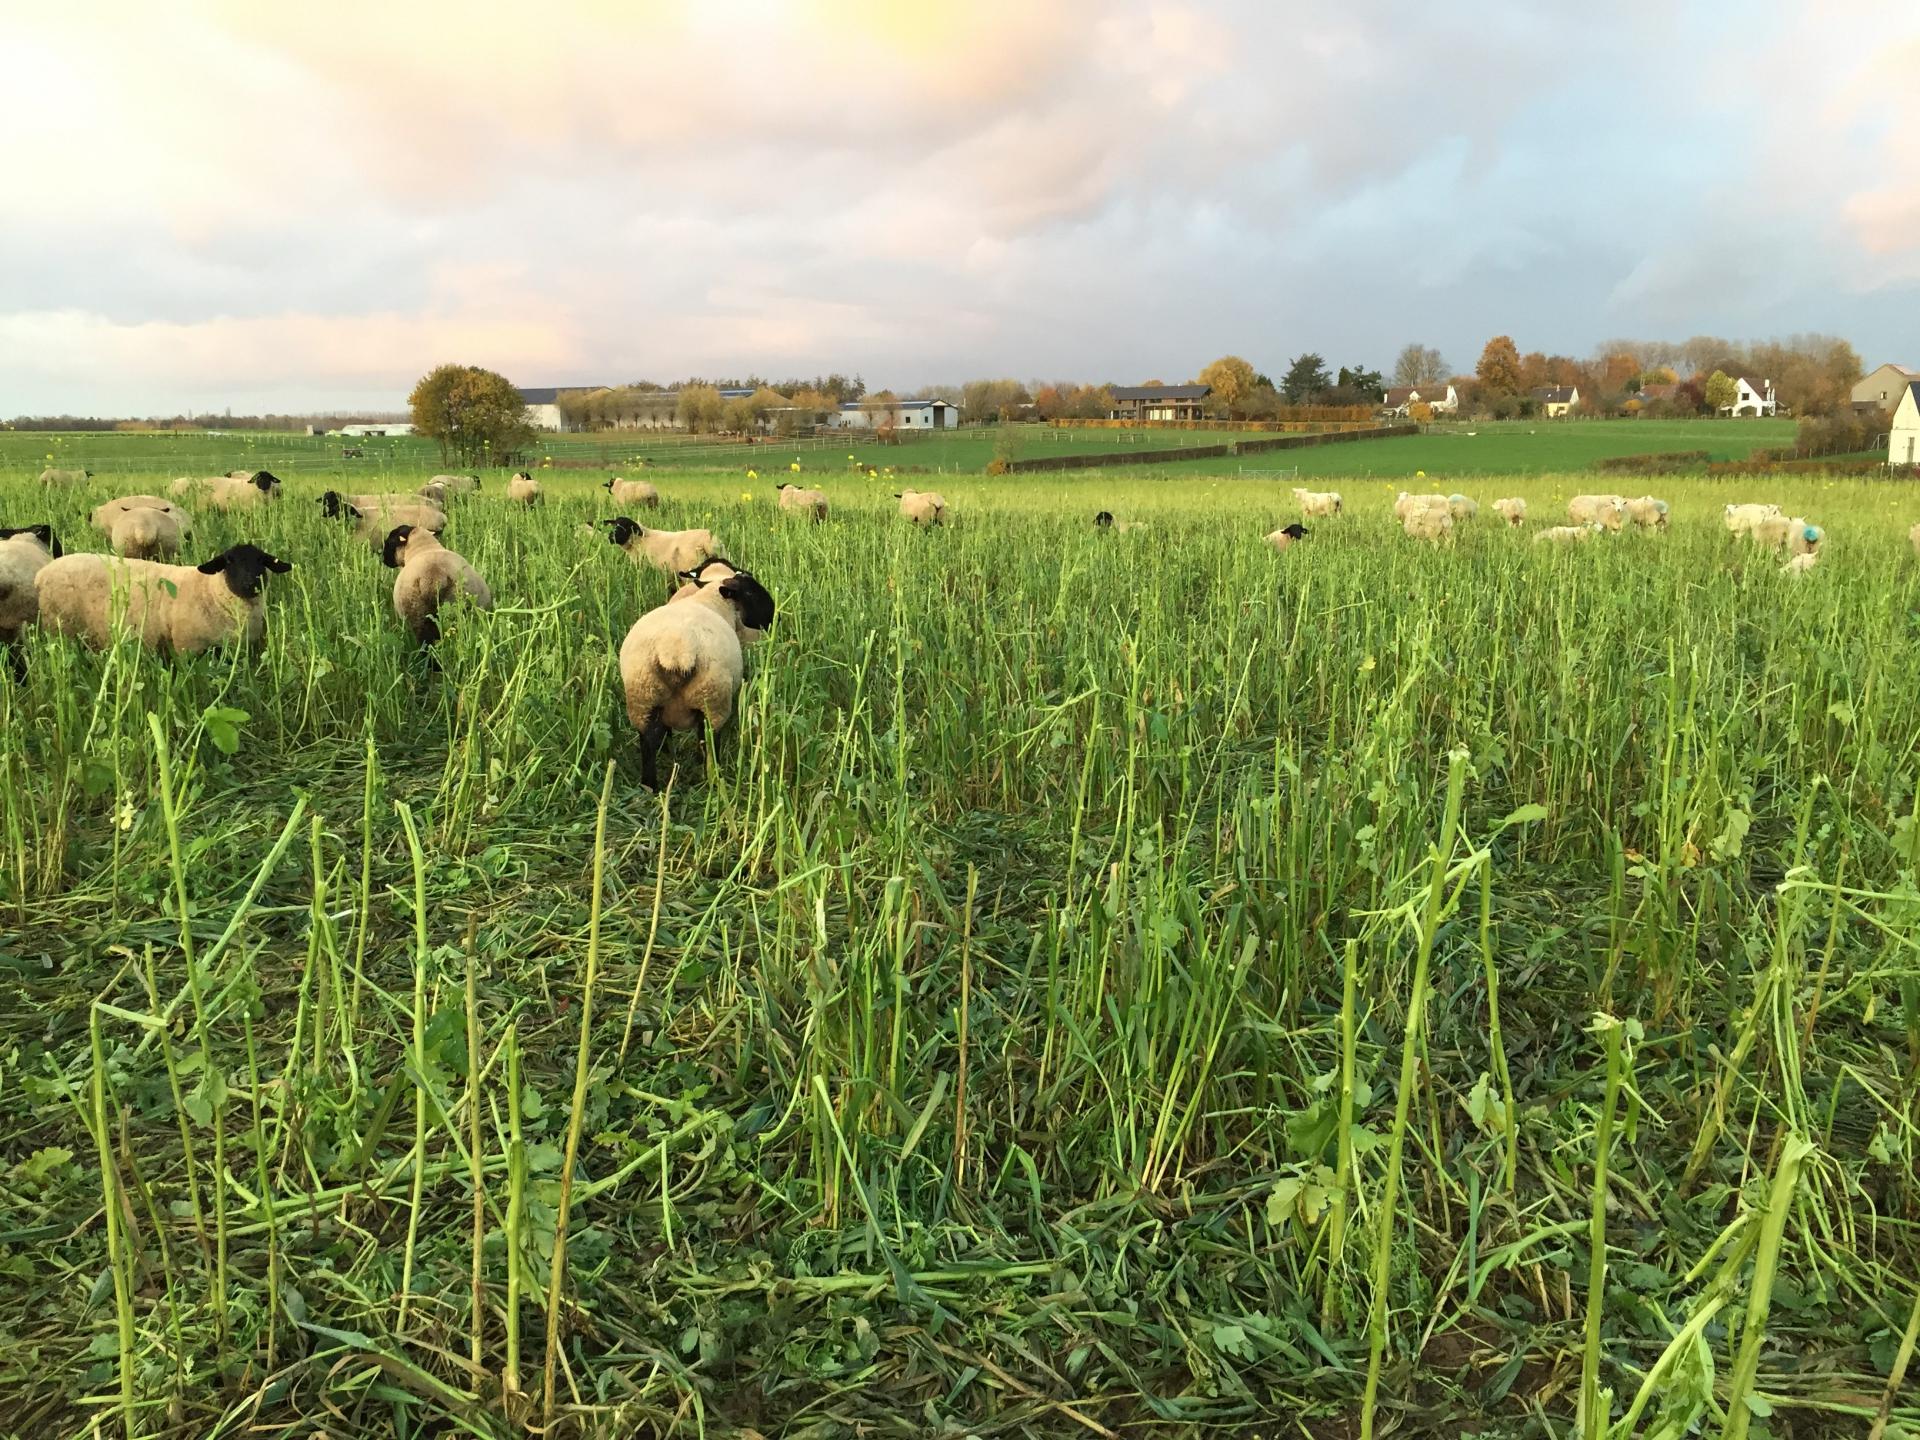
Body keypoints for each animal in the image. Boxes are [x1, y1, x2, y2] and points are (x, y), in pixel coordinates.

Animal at [34, 543, 292, 655]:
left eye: (262, 561)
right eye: (228, 561)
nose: (250, 583)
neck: (211, 591)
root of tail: (42, 573)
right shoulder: (189, 647)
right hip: (61, 629)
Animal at [618, 563, 775, 789]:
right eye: (751, 592)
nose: (772, 618)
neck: (711, 599)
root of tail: (677, 650)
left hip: (643, 698)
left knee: (650, 741)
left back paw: (651, 787)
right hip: (712, 699)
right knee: (707, 741)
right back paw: (712, 779)